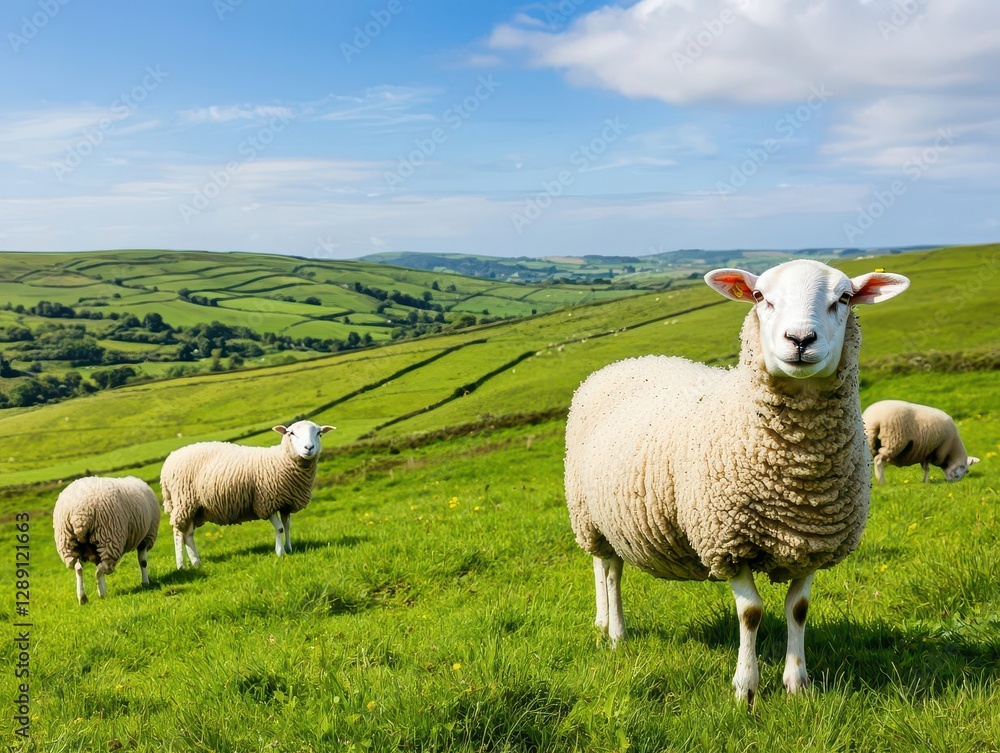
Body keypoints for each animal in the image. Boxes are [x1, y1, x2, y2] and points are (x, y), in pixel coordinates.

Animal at [52, 476, 159, 605]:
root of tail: (79, 514)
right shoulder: (146, 538)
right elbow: (143, 562)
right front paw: (145, 582)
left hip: (67, 543)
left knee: (78, 568)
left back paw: (82, 597)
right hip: (109, 538)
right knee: (100, 570)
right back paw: (102, 594)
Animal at [160, 420, 334, 569]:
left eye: (319, 433)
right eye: (291, 433)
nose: (308, 448)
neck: (280, 460)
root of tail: (169, 459)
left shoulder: (285, 503)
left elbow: (287, 526)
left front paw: (289, 548)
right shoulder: (266, 501)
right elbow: (279, 528)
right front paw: (280, 553)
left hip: (194, 507)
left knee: (188, 533)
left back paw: (196, 562)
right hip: (183, 501)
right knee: (178, 532)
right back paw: (181, 565)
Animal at [565, 259, 909, 703]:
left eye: (845, 298)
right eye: (761, 297)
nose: (800, 339)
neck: (797, 473)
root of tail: (622, 362)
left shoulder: (813, 541)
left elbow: (798, 610)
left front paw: (798, 684)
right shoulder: (729, 541)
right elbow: (751, 613)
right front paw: (746, 688)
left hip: (611, 516)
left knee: (610, 568)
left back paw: (607, 626)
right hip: (589, 516)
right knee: (608, 572)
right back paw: (614, 631)